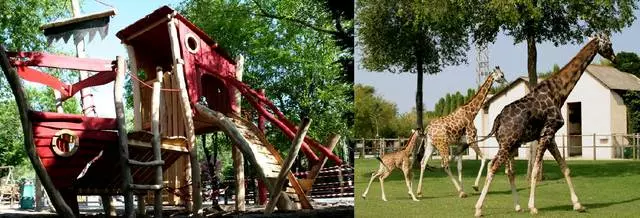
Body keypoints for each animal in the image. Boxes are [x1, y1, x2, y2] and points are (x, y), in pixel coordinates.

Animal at [418, 66, 508, 198]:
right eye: (501, 75)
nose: (506, 83)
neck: (472, 113)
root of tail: (427, 129)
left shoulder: (462, 144)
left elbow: (460, 166)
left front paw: (464, 188)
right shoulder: (472, 140)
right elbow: (484, 158)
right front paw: (474, 186)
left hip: (431, 145)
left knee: (423, 162)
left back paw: (419, 192)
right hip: (442, 144)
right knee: (444, 164)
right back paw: (460, 192)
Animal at [472, 34, 616, 216]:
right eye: (609, 43)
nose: (615, 58)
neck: (558, 93)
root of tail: (497, 120)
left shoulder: (550, 135)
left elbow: (565, 167)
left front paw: (578, 204)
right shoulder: (547, 132)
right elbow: (535, 170)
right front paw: (533, 206)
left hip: (510, 144)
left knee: (507, 171)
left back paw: (516, 206)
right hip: (507, 143)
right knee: (493, 166)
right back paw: (478, 208)